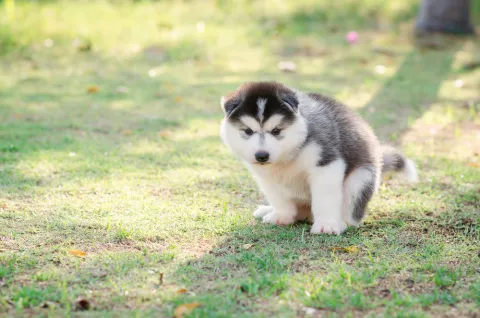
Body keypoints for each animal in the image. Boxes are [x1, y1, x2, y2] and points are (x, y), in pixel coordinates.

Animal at [219, 82, 418, 235]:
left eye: (276, 130)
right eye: (248, 131)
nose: (261, 156)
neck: (288, 155)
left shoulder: (327, 165)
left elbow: (325, 199)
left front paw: (327, 225)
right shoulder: (266, 177)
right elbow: (278, 198)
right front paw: (282, 215)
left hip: (360, 179)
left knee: (351, 214)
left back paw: (341, 223)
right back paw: (270, 210)